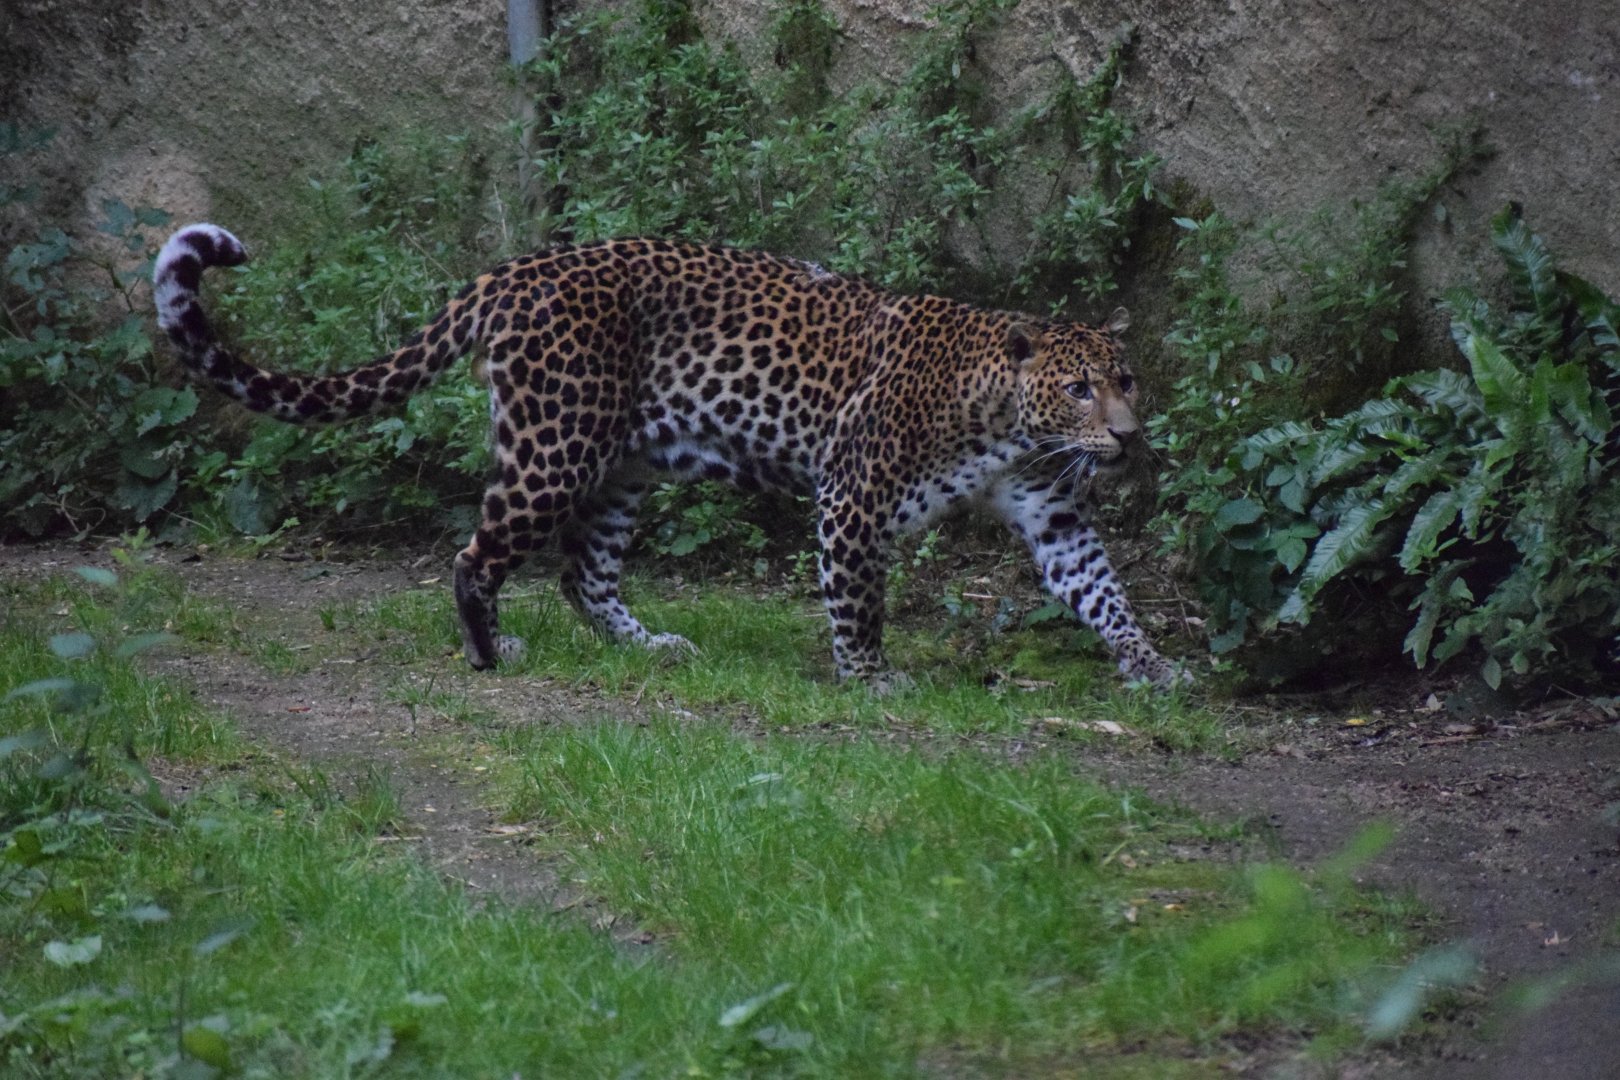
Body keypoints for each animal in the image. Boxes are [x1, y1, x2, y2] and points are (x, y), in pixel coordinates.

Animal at [154, 224, 1185, 690]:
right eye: (1078, 388)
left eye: (1126, 378)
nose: (1128, 438)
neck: (1008, 424)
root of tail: (511, 272)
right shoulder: (851, 497)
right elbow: (859, 600)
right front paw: (868, 679)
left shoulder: (1053, 513)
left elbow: (1100, 588)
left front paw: (1151, 665)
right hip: (555, 447)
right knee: (476, 554)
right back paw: (490, 653)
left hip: (622, 466)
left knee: (583, 573)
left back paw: (646, 645)